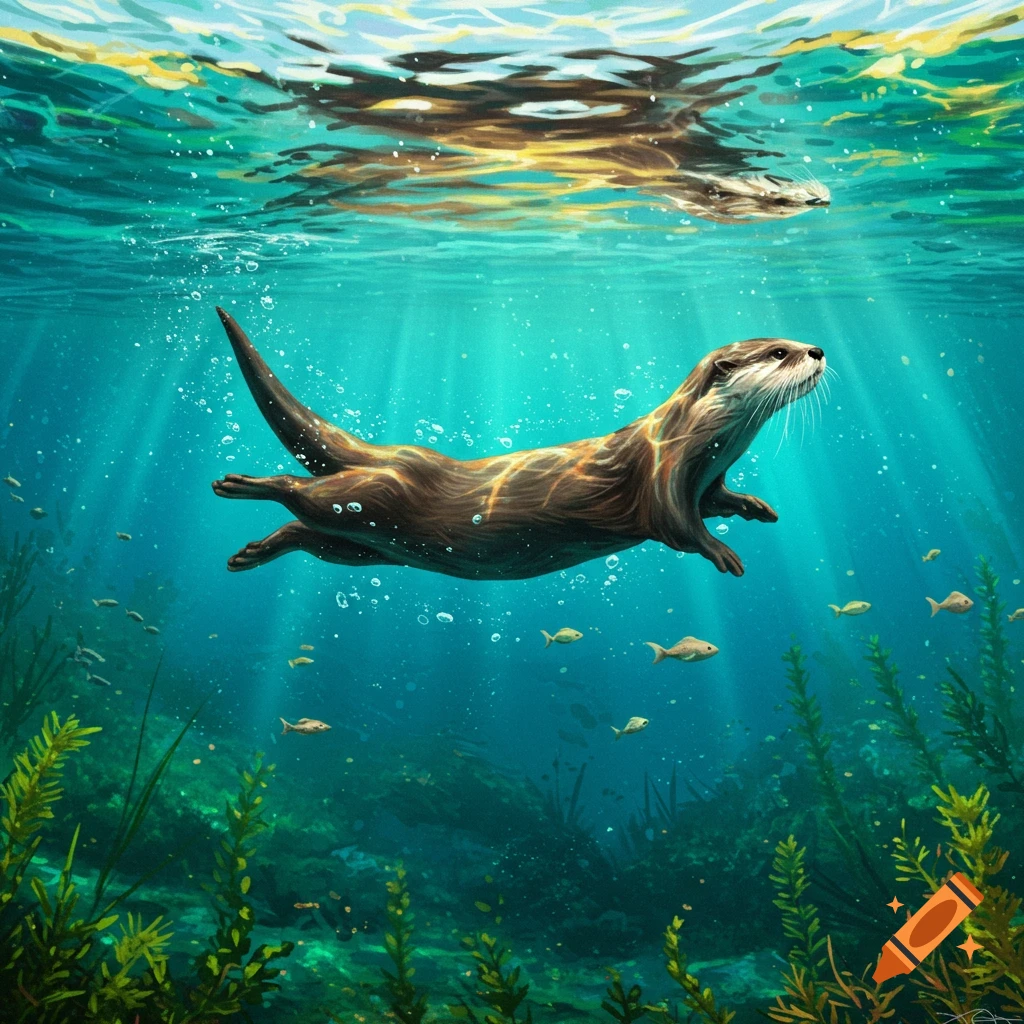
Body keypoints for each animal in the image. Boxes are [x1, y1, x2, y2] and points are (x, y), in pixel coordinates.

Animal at [211, 308, 825, 580]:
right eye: (778, 352)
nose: (817, 349)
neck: (698, 439)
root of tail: (398, 454)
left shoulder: (708, 477)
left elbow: (719, 500)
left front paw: (756, 507)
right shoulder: (662, 477)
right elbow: (680, 525)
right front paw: (722, 552)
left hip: (371, 544)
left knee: (310, 532)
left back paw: (249, 553)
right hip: (376, 498)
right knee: (305, 492)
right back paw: (238, 483)